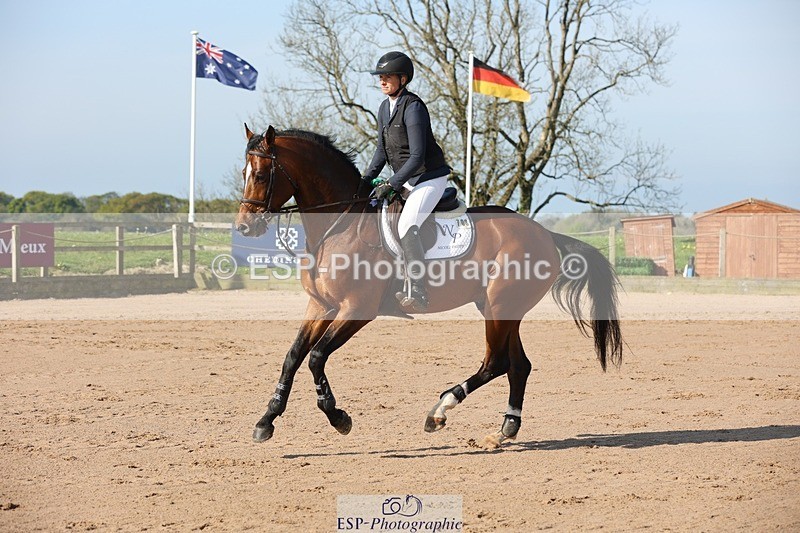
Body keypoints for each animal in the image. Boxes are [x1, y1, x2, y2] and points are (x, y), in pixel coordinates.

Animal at [235, 125, 623, 448]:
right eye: (244, 173)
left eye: (262, 174)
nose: (244, 227)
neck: (339, 225)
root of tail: (544, 233)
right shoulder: (320, 305)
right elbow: (293, 357)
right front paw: (266, 421)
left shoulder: (357, 310)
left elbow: (316, 357)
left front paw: (338, 416)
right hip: (499, 308)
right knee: (518, 365)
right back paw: (504, 429)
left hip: (499, 307)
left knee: (496, 362)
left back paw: (440, 411)